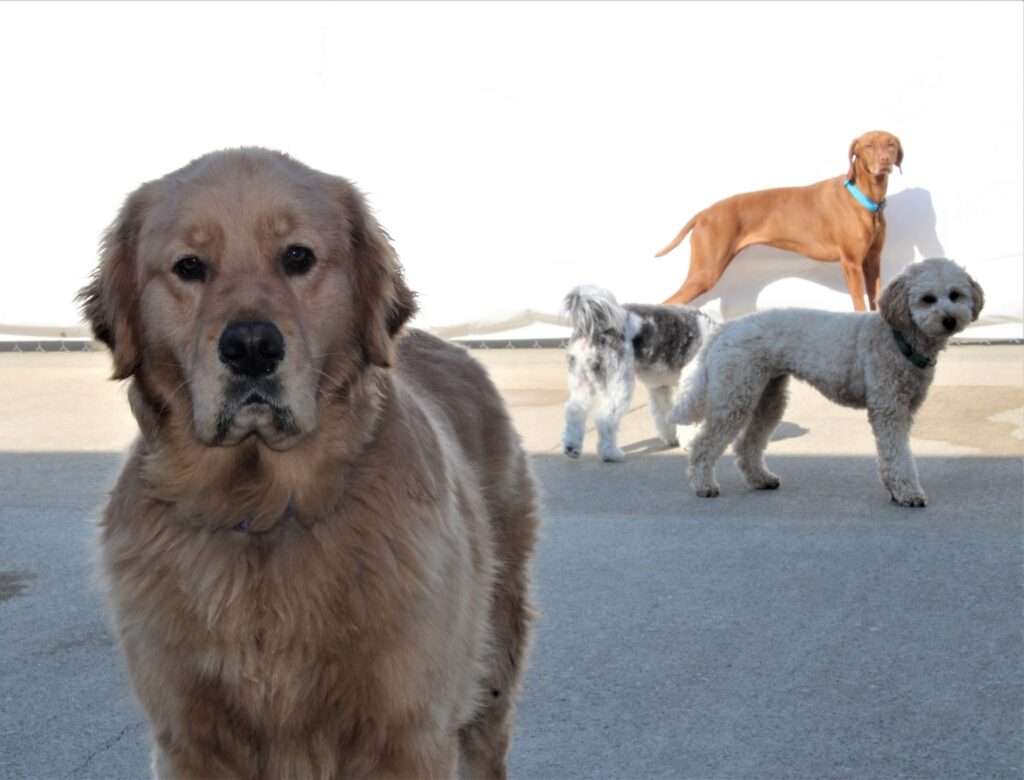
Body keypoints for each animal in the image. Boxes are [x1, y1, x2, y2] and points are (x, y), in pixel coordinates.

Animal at [659, 128, 901, 309]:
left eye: (891, 144)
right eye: (868, 146)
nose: (885, 161)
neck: (866, 198)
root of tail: (704, 213)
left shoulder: (872, 260)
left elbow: (875, 302)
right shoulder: (851, 263)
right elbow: (859, 306)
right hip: (705, 273)